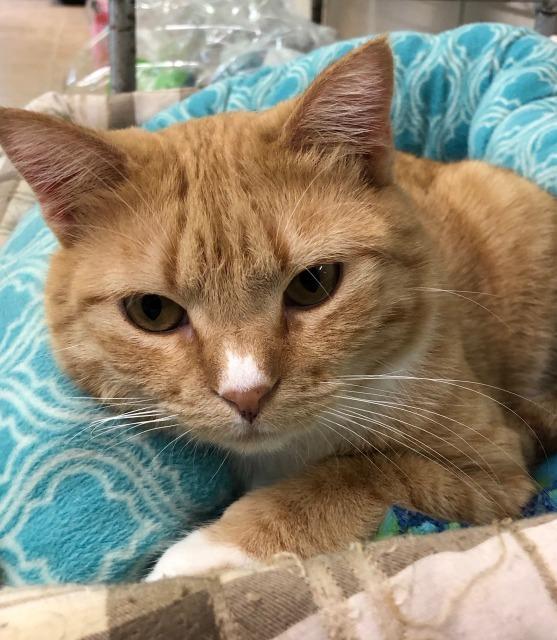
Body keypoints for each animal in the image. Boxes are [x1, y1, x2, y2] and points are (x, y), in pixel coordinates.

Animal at [1, 38, 556, 580]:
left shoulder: (494, 472)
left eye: (313, 284)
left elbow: (361, 472)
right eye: (152, 311)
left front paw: (209, 552)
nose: (246, 394)